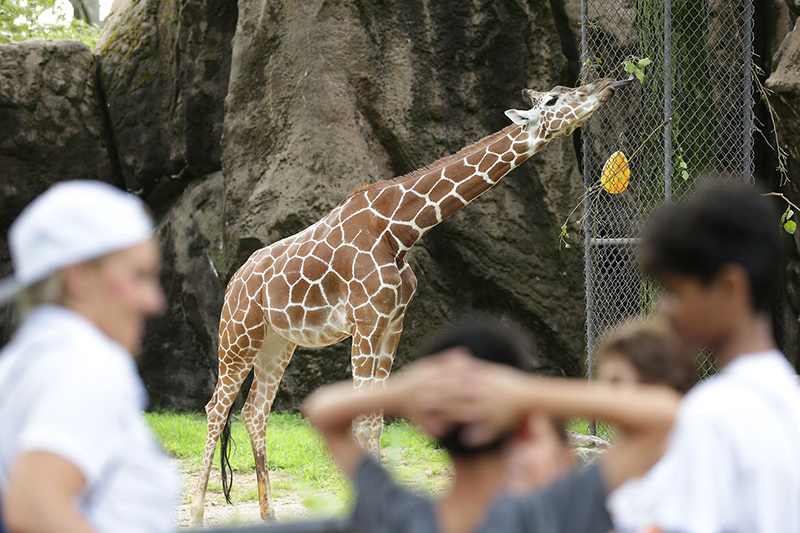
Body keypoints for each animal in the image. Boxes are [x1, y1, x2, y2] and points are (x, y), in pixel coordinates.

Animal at [191, 77, 628, 520]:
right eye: (554, 99)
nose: (610, 84)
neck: (400, 231)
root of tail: (233, 281)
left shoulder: (392, 324)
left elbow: (376, 420)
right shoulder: (366, 323)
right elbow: (361, 419)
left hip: (277, 342)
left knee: (254, 411)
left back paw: (268, 515)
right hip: (238, 336)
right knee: (215, 408)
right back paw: (196, 513)